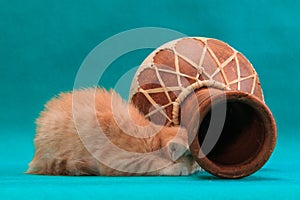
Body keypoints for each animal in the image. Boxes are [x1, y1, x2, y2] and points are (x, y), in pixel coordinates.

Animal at [27, 88, 200, 176]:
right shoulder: (118, 159)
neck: (151, 135)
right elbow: (150, 161)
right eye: (192, 157)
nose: (198, 166)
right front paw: (177, 168)